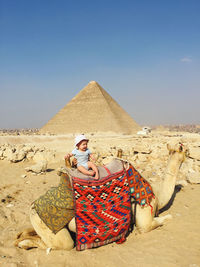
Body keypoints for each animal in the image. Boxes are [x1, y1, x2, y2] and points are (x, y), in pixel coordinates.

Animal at [15, 143, 188, 250]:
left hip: (38, 221)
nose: (189, 152)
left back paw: (20, 238)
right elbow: (164, 219)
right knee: (59, 244)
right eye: (183, 148)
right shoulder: (143, 216)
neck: (157, 193)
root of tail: (32, 206)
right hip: (51, 229)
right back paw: (23, 244)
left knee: (31, 233)